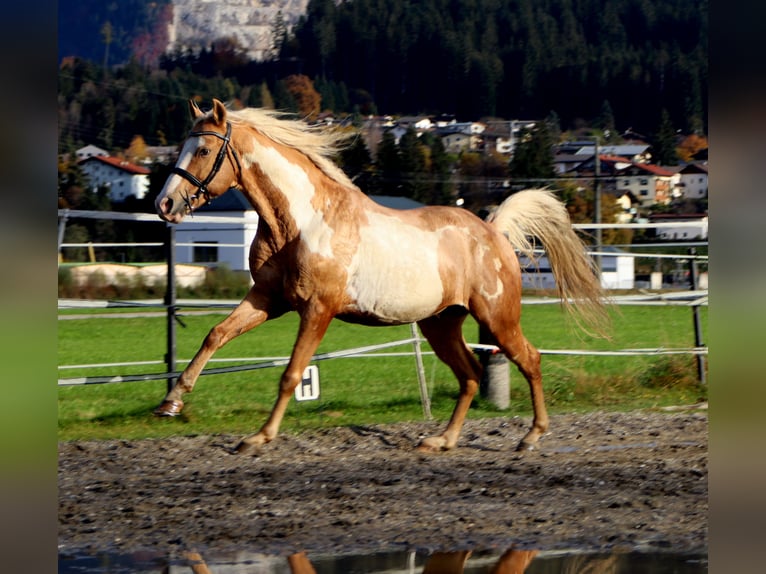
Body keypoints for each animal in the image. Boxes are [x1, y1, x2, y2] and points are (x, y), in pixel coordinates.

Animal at [154, 99, 608, 455]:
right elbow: (215, 335)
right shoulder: (268, 299)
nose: (165, 204)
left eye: (203, 149)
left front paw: (258, 438)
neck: (300, 223)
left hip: (497, 317)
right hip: (441, 323)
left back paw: (531, 436)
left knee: (529, 359)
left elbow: (291, 375)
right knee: (470, 374)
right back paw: (442, 440)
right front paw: (170, 402)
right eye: (182, 146)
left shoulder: (317, 310)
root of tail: (494, 230)